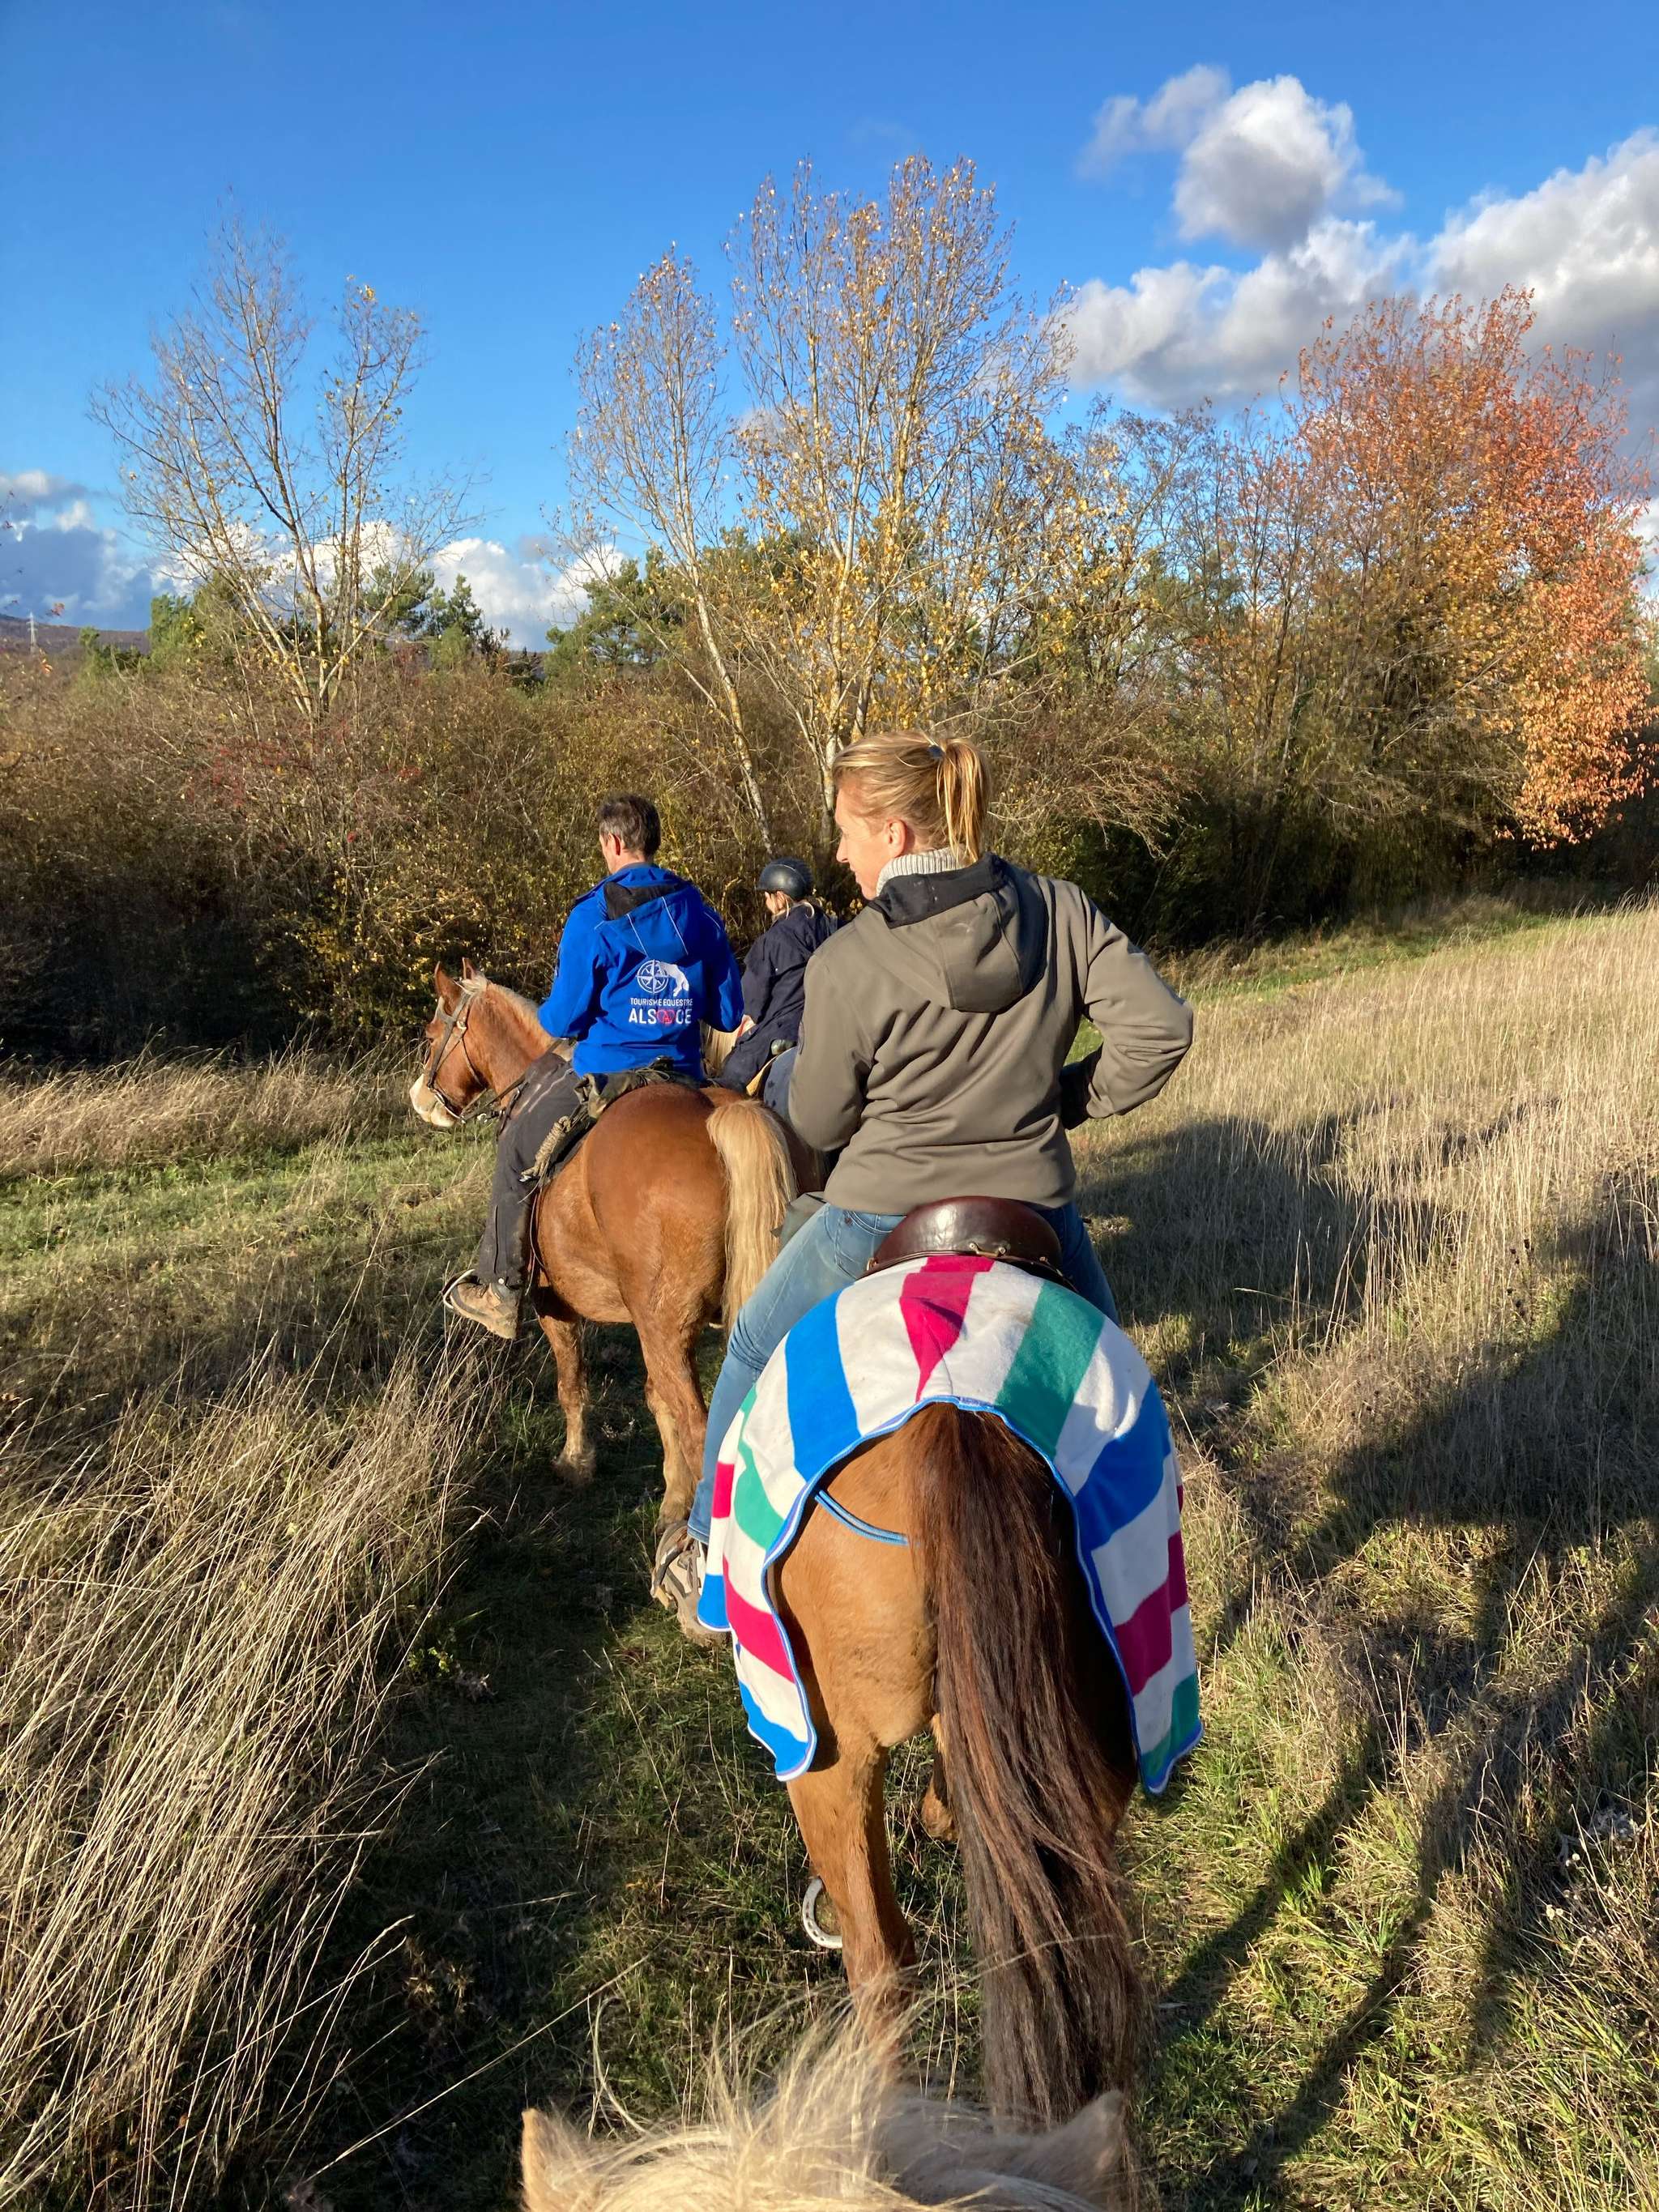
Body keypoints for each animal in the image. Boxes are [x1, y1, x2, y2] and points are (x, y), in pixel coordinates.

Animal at [410, 961, 799, 1528]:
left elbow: (572, 1382)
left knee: (704, 1430)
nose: (420, 1100)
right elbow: (656, 1400)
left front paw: (576, 1461)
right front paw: (671, 1495)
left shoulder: (552, 1301)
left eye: (431, 1034)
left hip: (665, 1328)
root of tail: (726, 1119)